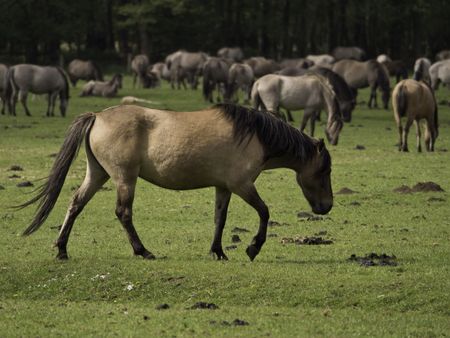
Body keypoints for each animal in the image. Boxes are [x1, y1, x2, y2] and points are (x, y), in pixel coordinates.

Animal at [18, 103, 334, 262]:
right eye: (324, 170)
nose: (327, 207)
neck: (254, 135)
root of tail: (97, 116)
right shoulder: (242, 185)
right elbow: (265, 212)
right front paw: (253, 248)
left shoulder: (224, 187)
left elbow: (220, 219)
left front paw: (218, 251)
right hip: (124, 178)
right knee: (123, 213)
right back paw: (142, 251)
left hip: (97, 174)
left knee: (76, 204)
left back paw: (62, 249)